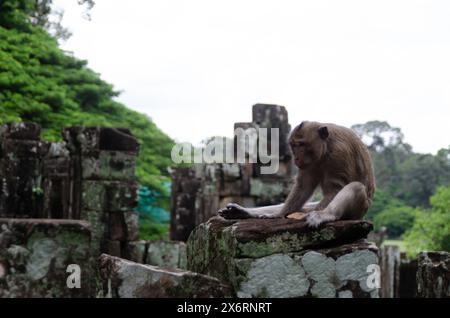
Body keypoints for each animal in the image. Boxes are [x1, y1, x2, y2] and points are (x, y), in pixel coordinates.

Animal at [218, 120, 376, 227]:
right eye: (293, 145)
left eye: (301, 144)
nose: (296, 158)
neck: (326, 147)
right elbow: (303, 187)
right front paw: (278, 214)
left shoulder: (339, 154)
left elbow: (335, 189)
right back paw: (246, 212)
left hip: (359, 210)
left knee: (356, 187)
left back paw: (324, 215)